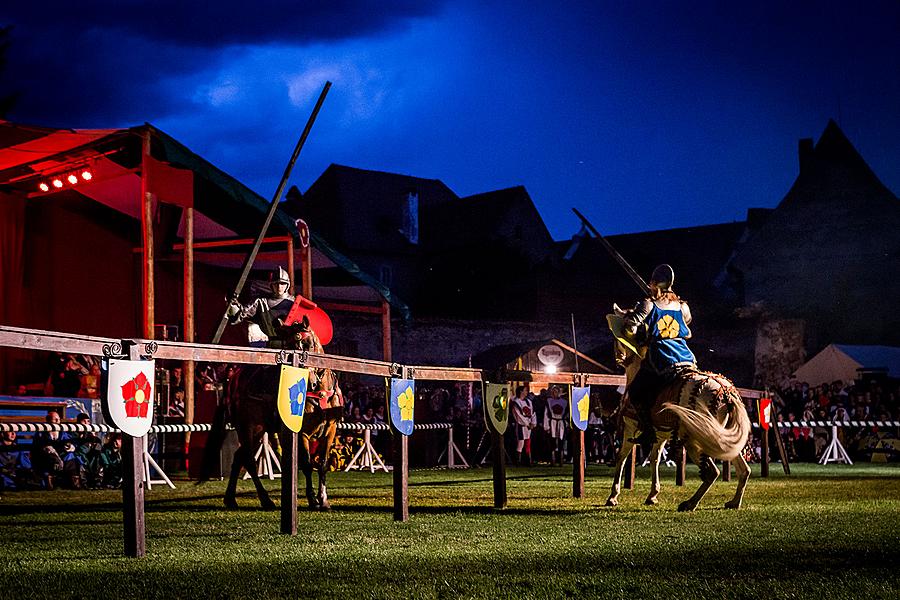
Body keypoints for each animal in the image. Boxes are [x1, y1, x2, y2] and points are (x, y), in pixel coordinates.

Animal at [202, 316, 342, 508]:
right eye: (288, 347)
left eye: (307, 343)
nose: (310, 381)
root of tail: (233, 379)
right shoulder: (303, 434)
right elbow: (307, 465)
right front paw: (313, 499)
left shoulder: (330, 431)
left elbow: (323, 464)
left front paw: (324, 499)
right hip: (249, 428)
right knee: (249, 461)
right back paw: (265, 499)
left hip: (258, 431)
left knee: (239, 458)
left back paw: (230, 499)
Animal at [604, 310, 752, 510]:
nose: (618, 356)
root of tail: (726, 393)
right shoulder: (659, 435)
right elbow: (655, 458)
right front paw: (652, 495)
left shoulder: (630, 428)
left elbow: (622, 457)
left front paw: (613, 496)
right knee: (744, 470)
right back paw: (734, 502)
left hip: (696, 440)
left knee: (712, 472)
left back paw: (690, 503)